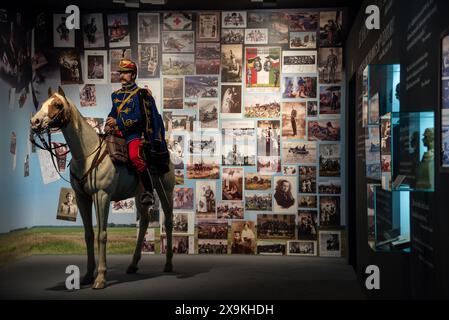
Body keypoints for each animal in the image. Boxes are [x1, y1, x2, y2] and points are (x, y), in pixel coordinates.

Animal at [30, 87, 175, 290]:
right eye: (43, 103)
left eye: (57, 104)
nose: (34, 122)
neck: (87, 155)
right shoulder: (82, 197)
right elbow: (89, 235)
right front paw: (87, 276)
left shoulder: (102, 196)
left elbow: (102, 235)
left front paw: (100, 278)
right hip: (140, 194)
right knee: (145, 222)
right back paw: (133, 265)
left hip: (166, 191)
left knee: (169, 221)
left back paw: (168, 264)